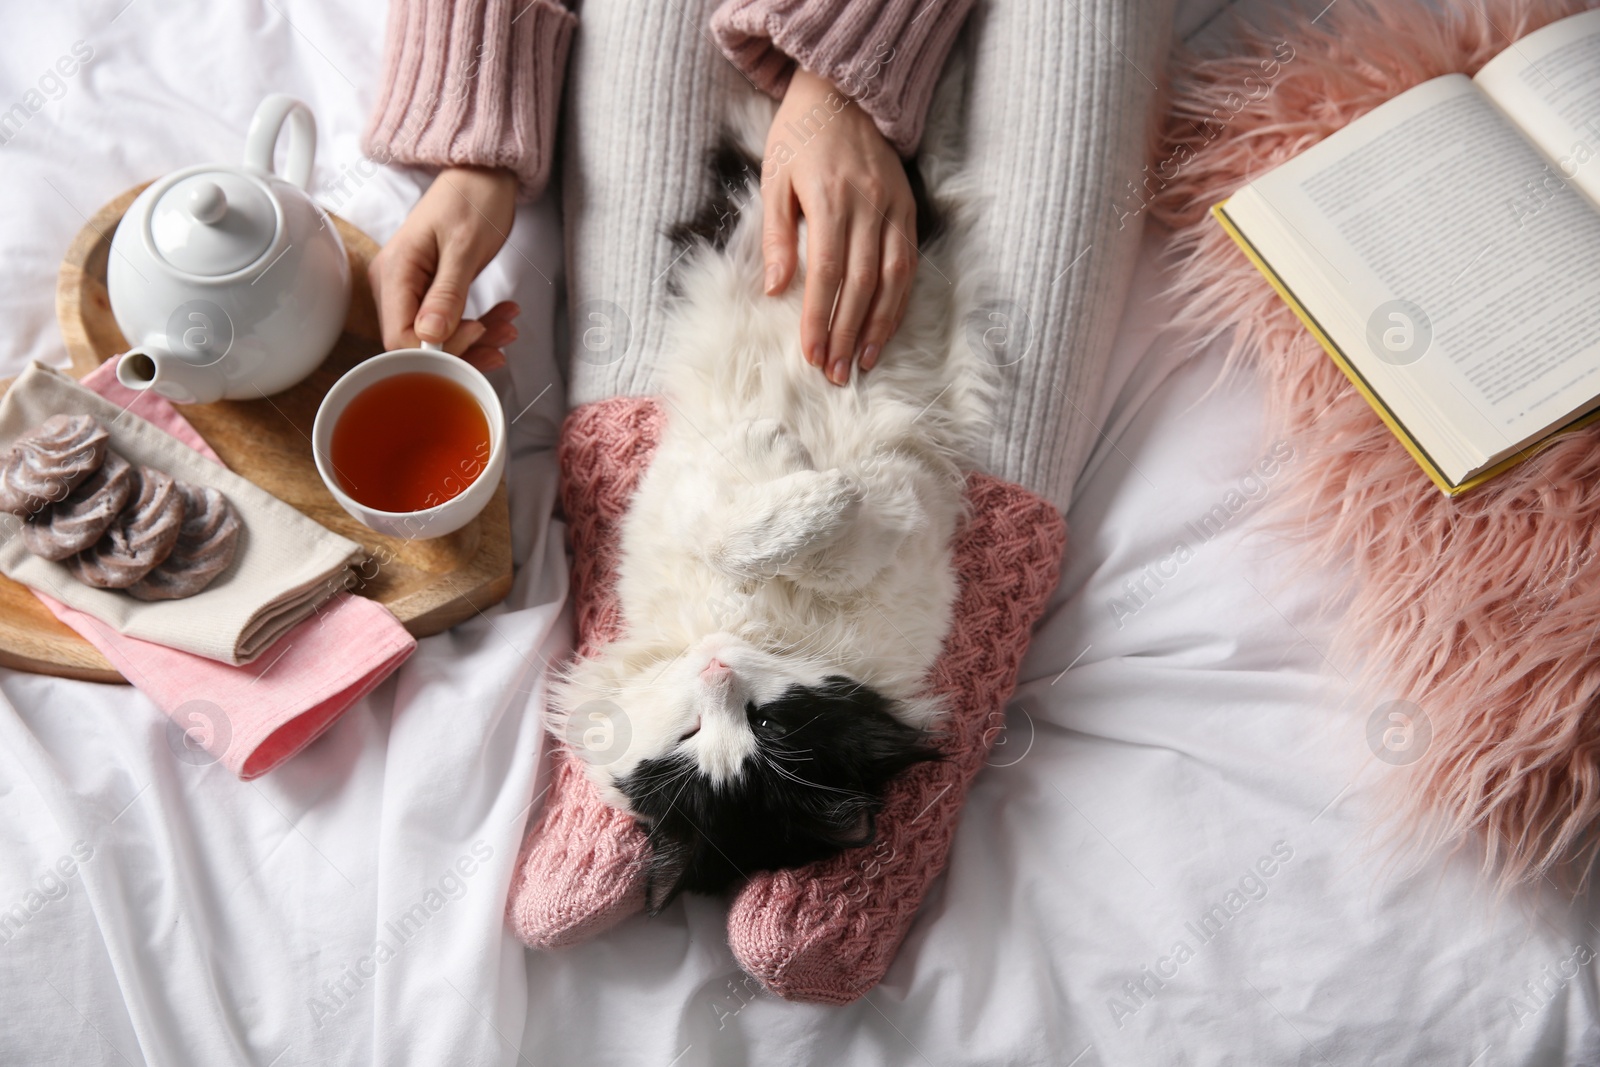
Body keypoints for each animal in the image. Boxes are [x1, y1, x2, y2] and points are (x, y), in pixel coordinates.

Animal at [547, 87, 985, 915]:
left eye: (769, 722)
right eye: (689, 735)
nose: (717, 668)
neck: (753, 626)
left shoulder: (906, 525)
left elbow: (805, 532)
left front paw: (798, 468)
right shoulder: (682, 503)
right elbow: (751, 524)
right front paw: (795, 468)